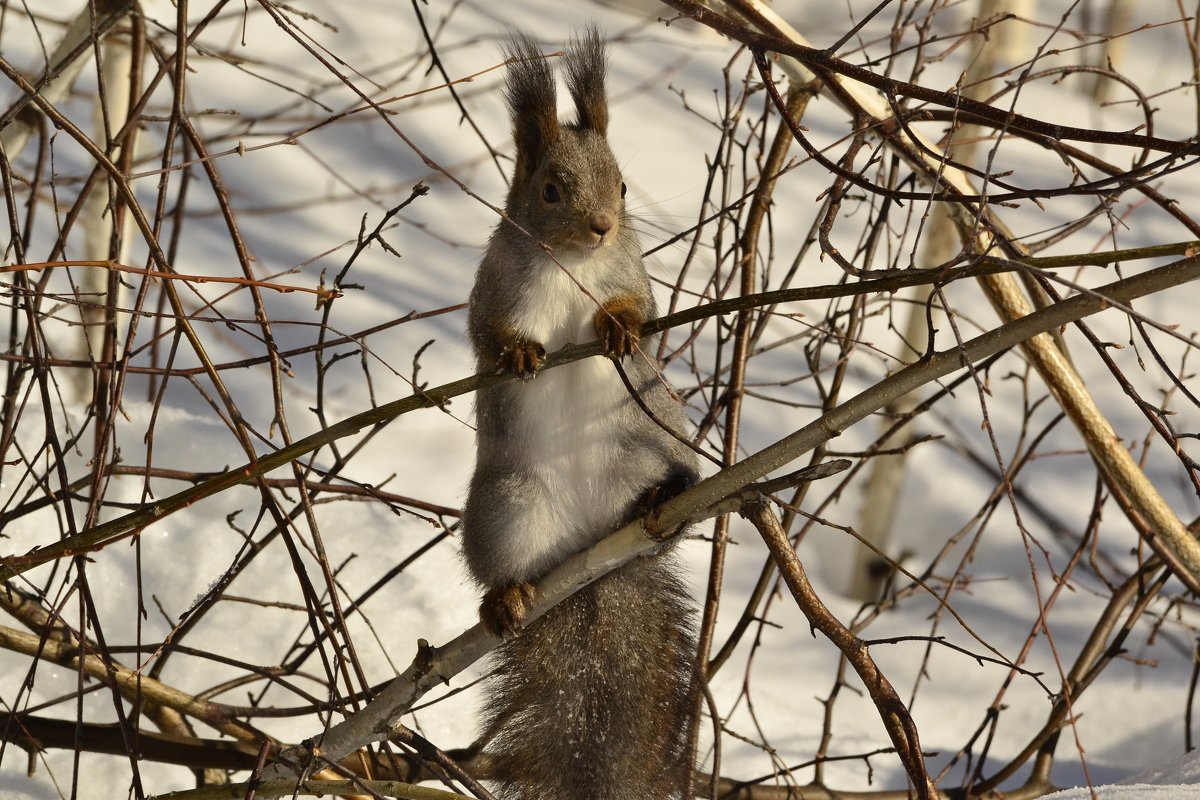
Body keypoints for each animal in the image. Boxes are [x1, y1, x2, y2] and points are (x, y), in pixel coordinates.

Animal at [460, 26, 700, 800]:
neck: (573, 263)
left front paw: (618, 329)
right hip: (508, 506)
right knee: (505, 564)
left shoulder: (631, 273)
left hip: (650, 445)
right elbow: (488, 335)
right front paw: (519, 356)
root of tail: (593, 558)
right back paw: (505, 599)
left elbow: (641, 311)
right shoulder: (495, 287)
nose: (602, 226)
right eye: (549, 189)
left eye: (622, 184)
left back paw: (663, 502)